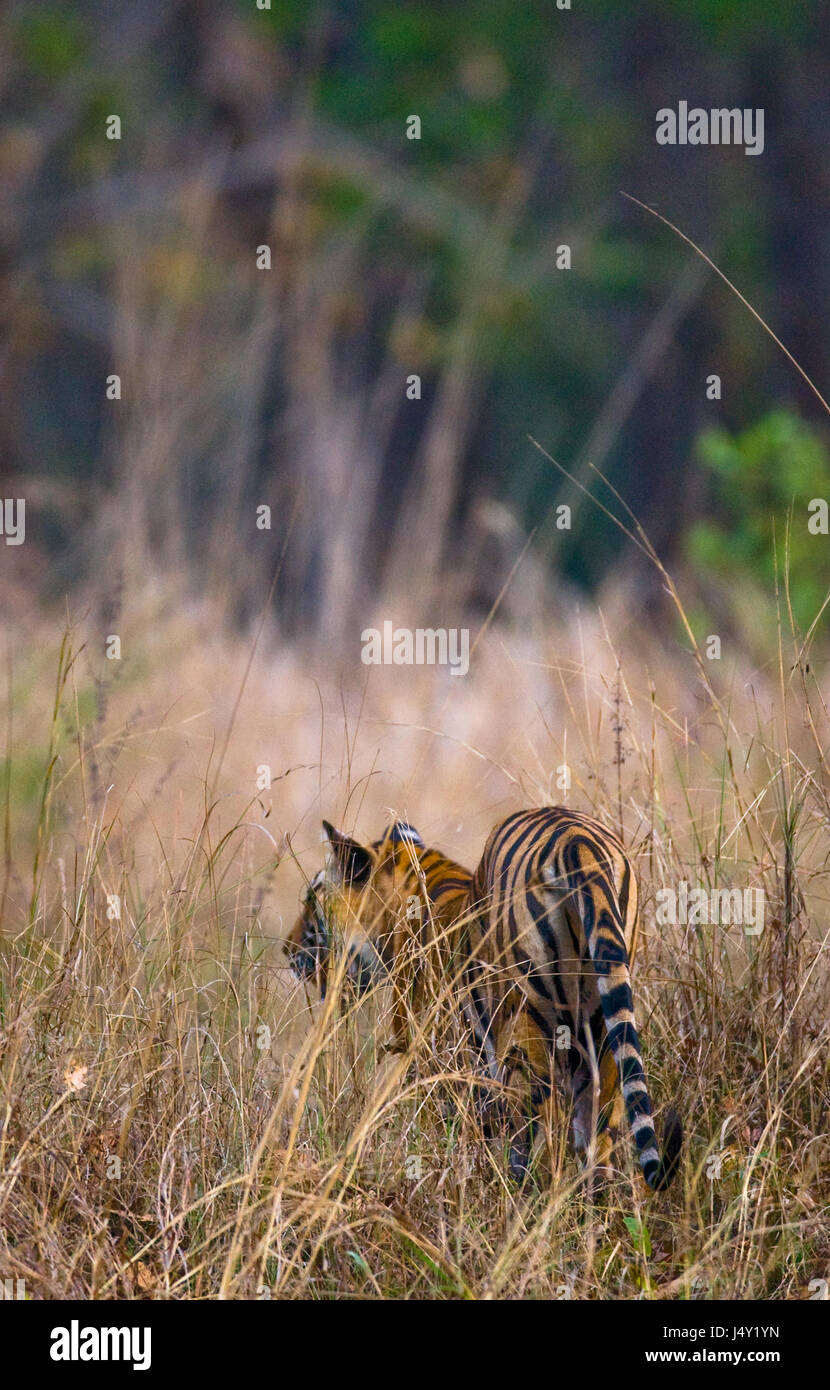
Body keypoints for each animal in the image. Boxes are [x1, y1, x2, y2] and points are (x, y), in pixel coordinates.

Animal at [285, 811, 678, 1189]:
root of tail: (577, 838)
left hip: (526, 1034)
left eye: (311, 900)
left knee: (543, 1143)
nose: (287, 951)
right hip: (605, 1039)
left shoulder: (435, 1067)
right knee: (597, 1149)